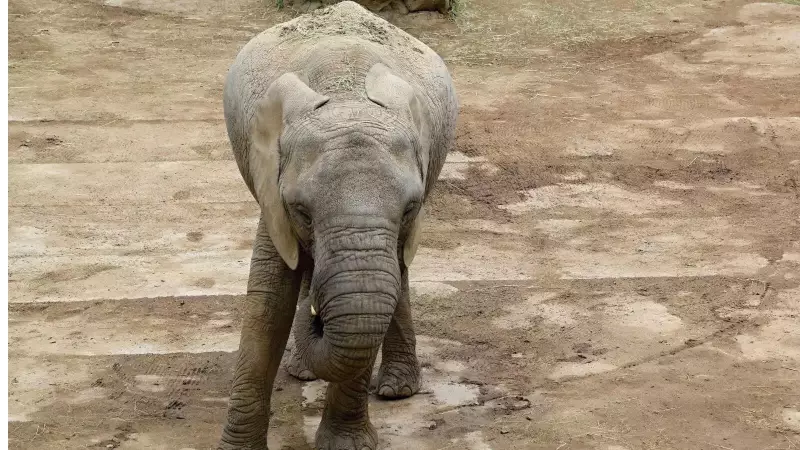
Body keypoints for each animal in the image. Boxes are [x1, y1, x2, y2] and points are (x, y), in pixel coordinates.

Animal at [217, 2, 458, 449]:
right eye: (301, 210)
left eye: (411, 208)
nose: (317, 316)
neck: (347, 95)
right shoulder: (271, 187)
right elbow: (269, 300)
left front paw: (346, 444)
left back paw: (396, 390)